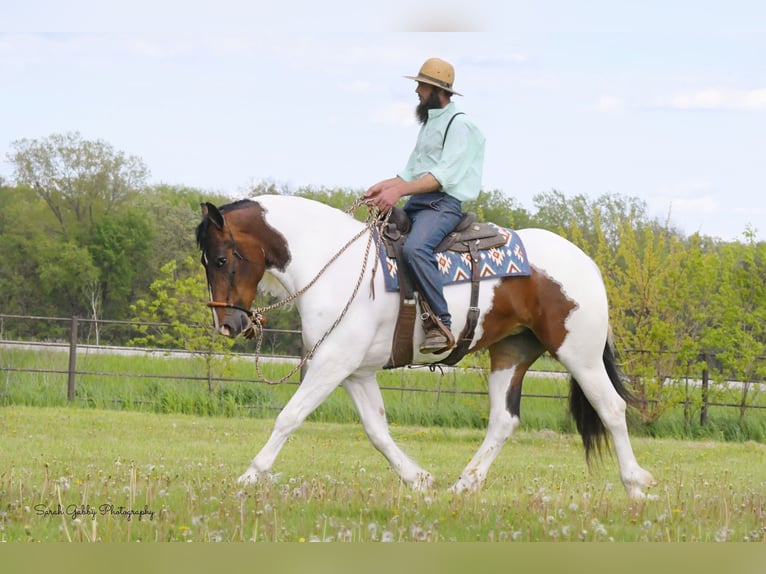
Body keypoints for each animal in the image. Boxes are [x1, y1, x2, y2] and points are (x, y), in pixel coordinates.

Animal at [195, 194, 656, 500]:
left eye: (220, 259)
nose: (228, 325)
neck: (333, 263)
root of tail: (586, 262)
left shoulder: (332, 363)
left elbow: (289, 417)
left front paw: (250, 476)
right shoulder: (356, 371)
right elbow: (377, 431)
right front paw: (418, 478)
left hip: (579, 354)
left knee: (611, 408)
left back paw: (636, 485)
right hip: (511, 353)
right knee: (503, 420)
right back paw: (465, 483)